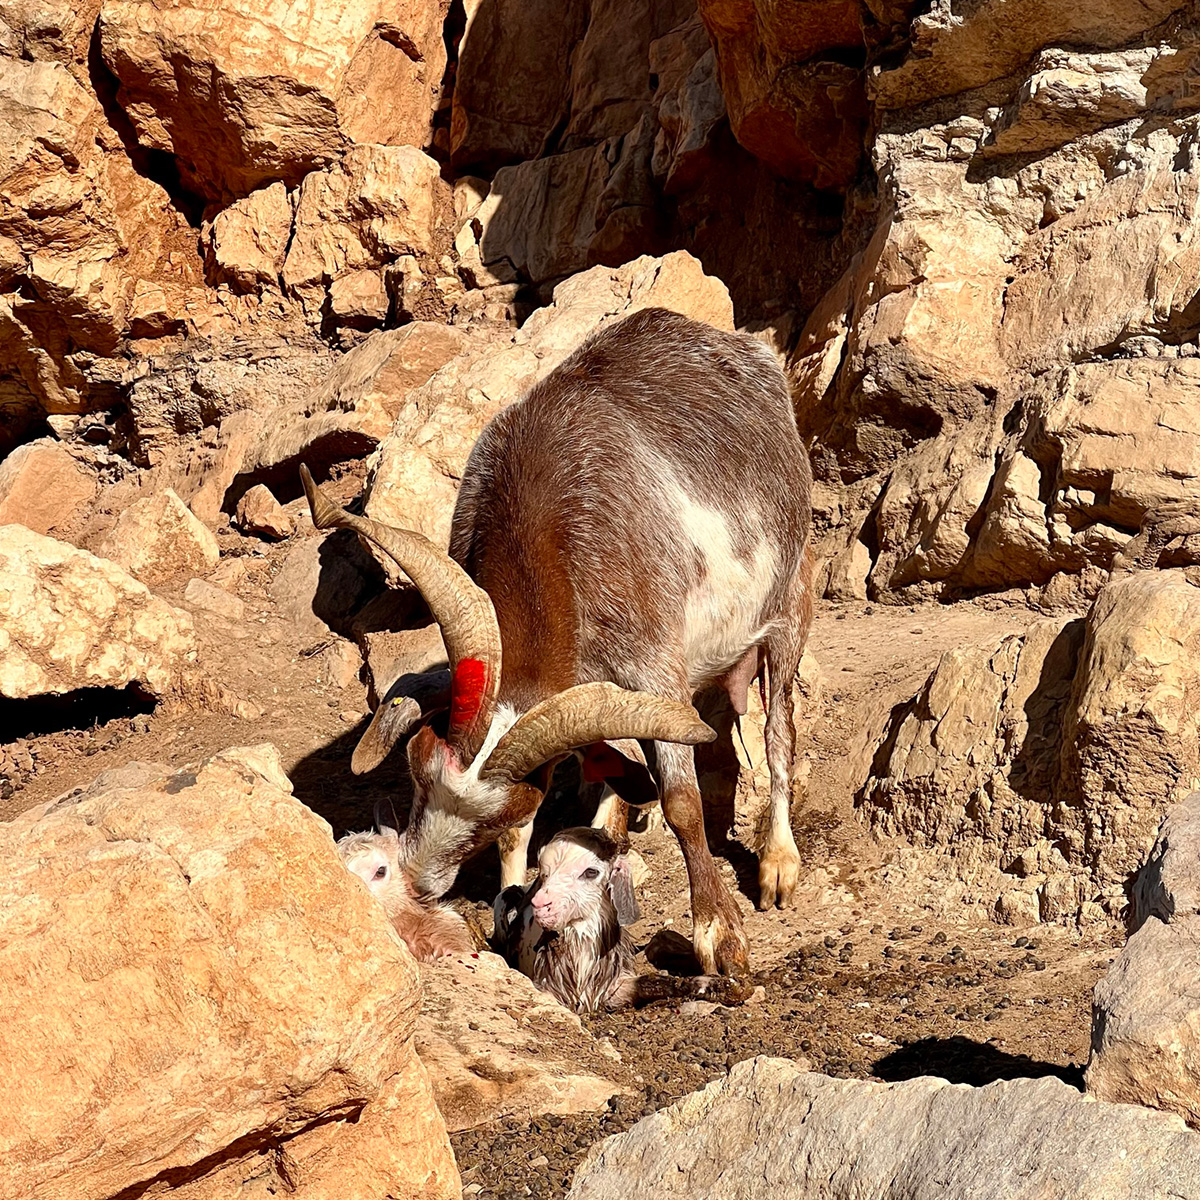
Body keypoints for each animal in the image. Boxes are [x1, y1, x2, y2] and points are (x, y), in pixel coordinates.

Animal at [300, 307, 816, 974]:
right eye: (416, 770)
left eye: (511, 805)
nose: (418, 884)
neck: (545, 522)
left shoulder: (653, 662)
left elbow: (682, 801)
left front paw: (720, 936)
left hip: (788, 605)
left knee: (779, 731)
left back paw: (777, 862)